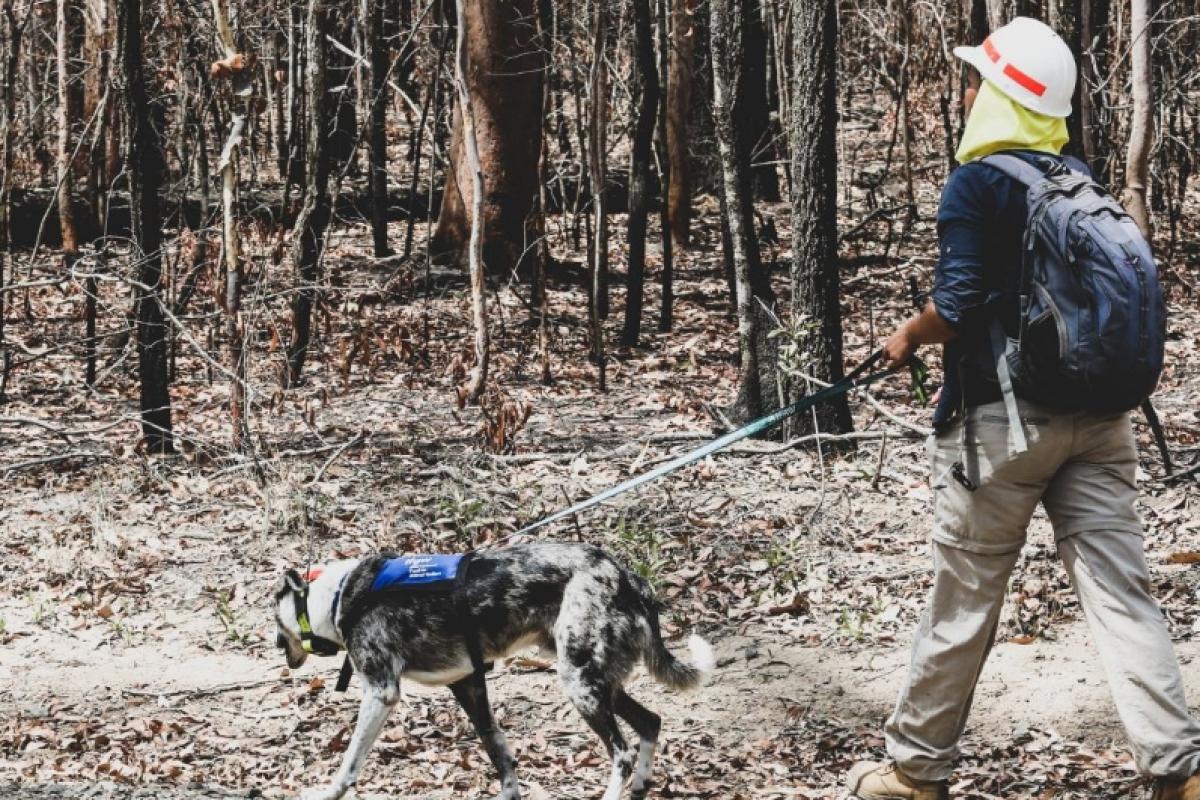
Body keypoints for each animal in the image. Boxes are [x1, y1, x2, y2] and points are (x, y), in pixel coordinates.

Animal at [274, 544, 710, 800]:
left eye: (275, 622)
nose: (279, 647)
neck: (338, 596)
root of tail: (627, 577)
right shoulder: (469, 687)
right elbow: (499, 753)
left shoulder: (381, 693)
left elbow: (350, 762)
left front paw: (329, 791)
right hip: (600, 684)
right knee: (650, 722)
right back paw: (641, 785)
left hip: (580, 686)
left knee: (622, 753)